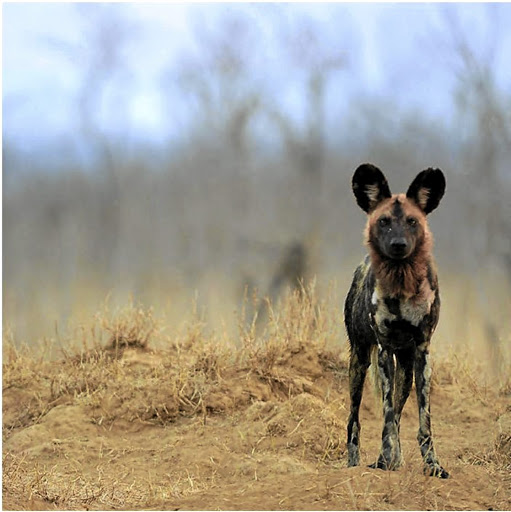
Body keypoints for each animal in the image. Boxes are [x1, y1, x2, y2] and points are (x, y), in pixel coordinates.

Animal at [346, 165, 450, 480]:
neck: (402, 280)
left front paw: (432, 465)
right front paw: (387, 460)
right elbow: (387, 415)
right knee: (356, 419)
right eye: (384, 222)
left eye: (412, 221)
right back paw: (358, 462)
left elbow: (423, 422)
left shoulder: (422, 353)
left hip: (405, 368)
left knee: (398, 414)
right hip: (359, 363)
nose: (398, 245)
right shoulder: (383, 351)